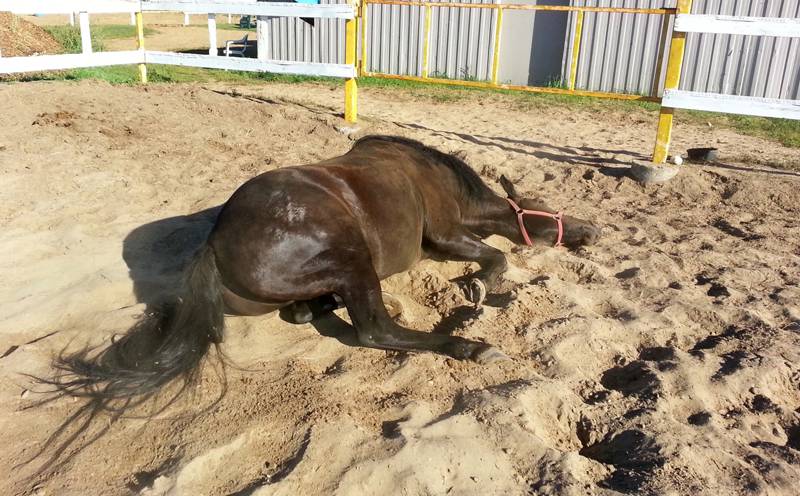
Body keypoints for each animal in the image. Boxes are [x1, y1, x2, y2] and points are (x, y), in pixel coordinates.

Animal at [51, 135, 600, 410]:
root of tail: (214, 244)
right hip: (354, 261)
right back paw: (471, 346)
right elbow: (497, 259)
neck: (439, 181)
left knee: (308, 313)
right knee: (376, 330)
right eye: (548, 207)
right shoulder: (445, 235)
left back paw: (320, 304)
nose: (592, 230)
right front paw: (486, 286)